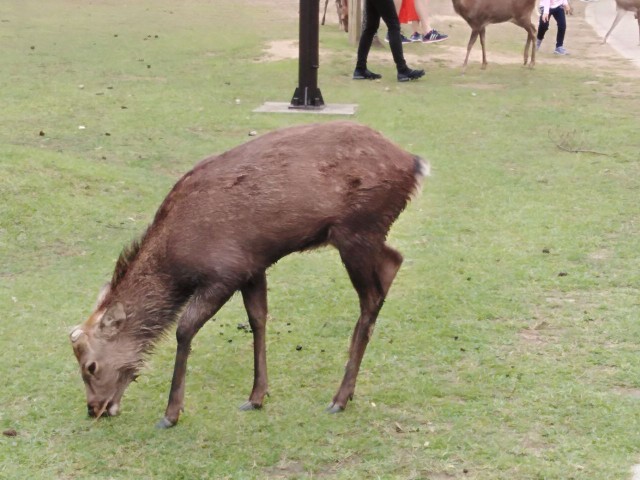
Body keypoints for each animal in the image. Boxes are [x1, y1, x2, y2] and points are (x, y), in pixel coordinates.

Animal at [69, 120, 430, 428]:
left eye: (90, 366)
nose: (94, 408)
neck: (177, 262)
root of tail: (414, 163)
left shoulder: (224, 272)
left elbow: (185, 329)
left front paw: (171, 413)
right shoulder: (252, 267)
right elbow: (258, 319)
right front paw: (257, 396)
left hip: (358, 229)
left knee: (372, 295)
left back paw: (339, 398)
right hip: (364, 233)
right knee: (394, 260)